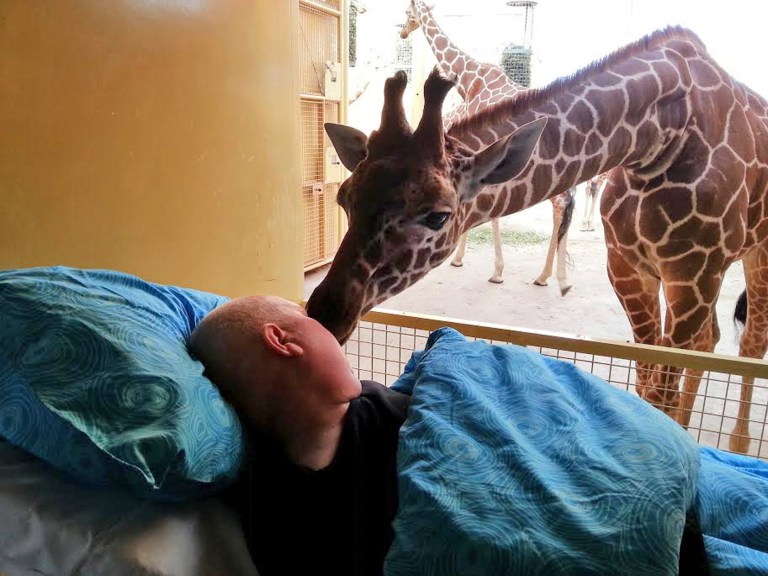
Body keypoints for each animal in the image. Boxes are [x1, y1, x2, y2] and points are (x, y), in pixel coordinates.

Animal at [399, 0, 575, 291]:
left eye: (407, 13)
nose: (403, 32)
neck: (470, 80)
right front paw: (463, 259)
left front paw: (495, 270)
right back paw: (552, 275)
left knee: (562, 203)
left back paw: (547, 275)